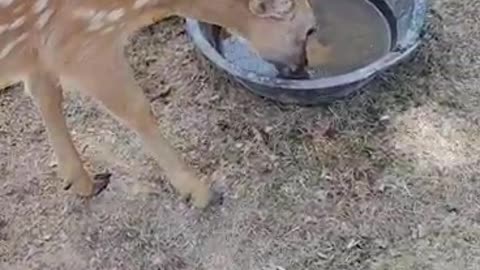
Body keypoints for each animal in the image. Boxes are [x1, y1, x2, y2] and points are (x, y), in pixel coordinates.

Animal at [0, 0, 316, 209]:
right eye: (310, 29)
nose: (302, 71)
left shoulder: (38, 50)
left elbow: (45, 94)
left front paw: (81, 182)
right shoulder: (81, 42)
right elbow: (137, 110)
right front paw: (199, 192)